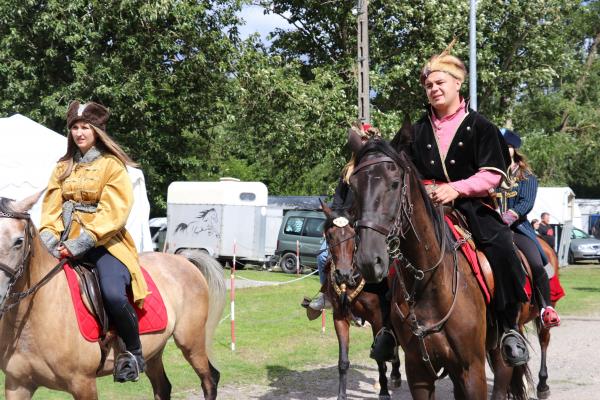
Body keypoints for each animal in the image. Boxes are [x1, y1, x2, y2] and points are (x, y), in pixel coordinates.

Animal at [0, 193, 226, 400]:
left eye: (19, 241)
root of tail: (184, 260)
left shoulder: (83, 384)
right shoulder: (17, 385)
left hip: (191, 342)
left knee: (210, 379)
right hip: (155, 351)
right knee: (163, 388)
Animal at [320, 201, 401, 400]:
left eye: (352, 235)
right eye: (330, 236)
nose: (343, 274)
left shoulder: (378, 319)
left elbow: (380, 358)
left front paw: (384, 392)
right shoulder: (340, 318)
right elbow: (343, 361)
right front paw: (341, 395)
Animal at [347, 120, 530, 400]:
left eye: (395, 183)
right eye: (354, 186)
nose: (369, 260)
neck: (430, 283)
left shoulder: (472, 370)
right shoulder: (419, 373)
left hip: (499, 354)